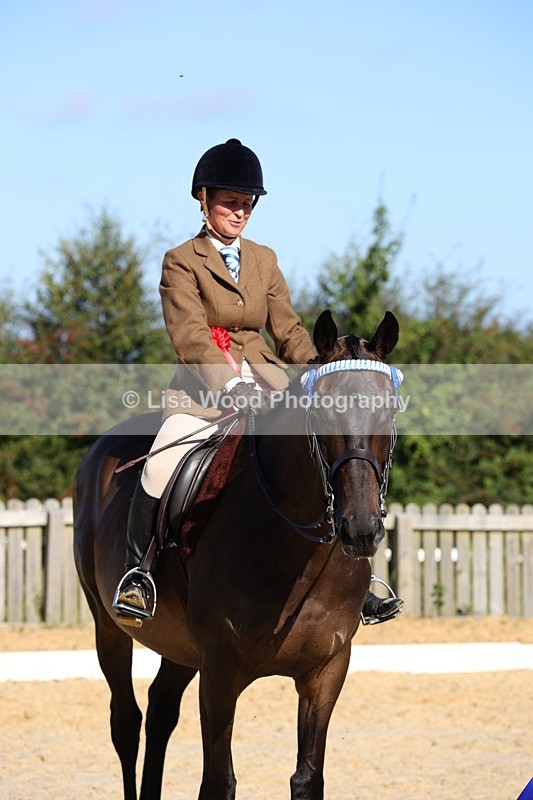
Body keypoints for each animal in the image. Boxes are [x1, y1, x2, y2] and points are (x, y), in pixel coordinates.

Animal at [73, 309, 401, 800]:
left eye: (388, 411)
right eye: (322, 411)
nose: (360, 529)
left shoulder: (326, 671)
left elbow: (308, 778)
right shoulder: (220, 670)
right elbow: (218, 781)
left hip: (180, 643)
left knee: (160, 709)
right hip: (109, 625)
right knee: (125, 722)